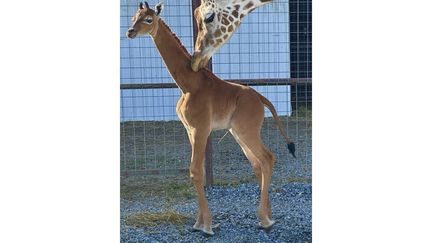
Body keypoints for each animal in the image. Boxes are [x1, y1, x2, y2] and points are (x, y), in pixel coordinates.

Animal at [126, 0, 296, 235]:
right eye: (133, 17)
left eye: (149, 19)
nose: (130, 32)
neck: (187, 83)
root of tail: (261, 99)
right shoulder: (190, 130)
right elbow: (199, 172)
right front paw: (200, 222)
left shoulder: (201, 128)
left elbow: (195, 171)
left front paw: (205, 225)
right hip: (238, 132)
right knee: (258, 163)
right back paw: (268, 216)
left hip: (247, 130)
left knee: (267, 158)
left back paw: (265, 219)